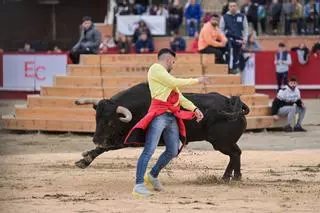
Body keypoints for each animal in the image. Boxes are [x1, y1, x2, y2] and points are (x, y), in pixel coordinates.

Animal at [75, 83, 250, 180]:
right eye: (96, 119)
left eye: (110, 123)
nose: (96, 139)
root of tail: (232, 103)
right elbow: (106, 147)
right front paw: (85, 158)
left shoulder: (131, 138)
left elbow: (108, 147)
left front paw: (85, 158)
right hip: (223, 142)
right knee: (236, 154)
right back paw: (230, 177)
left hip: (221, 142)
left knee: (235, 153)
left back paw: (232, 177)